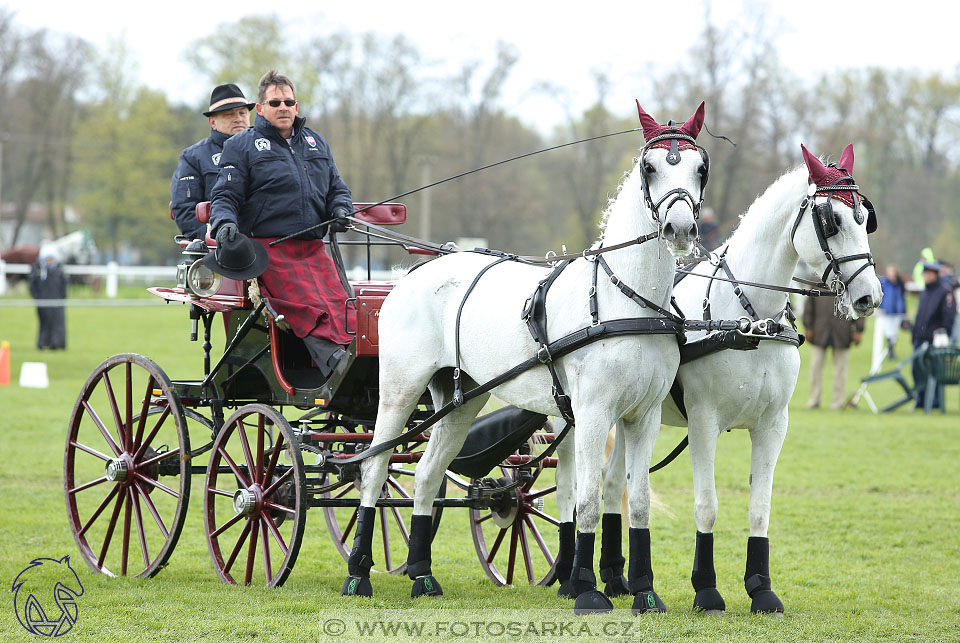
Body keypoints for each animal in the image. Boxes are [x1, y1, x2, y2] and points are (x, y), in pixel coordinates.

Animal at [342, 102, 708, 612]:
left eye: (700, 168)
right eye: (649, 167)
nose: (680, 229)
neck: (624, 299)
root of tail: (411, 273)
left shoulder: (643, 414)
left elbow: (636, 499)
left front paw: (644, 592)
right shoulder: (593, 413)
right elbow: (587, 499)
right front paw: (588, 590)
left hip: (461, 400)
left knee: (428, 474)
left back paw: (421, 574)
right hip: (399, 390)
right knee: (376, 468)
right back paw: (358, 571)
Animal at [560, 143, 880, 616]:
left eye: (865, 219)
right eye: (832, 221)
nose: (869, 297)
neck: (750, 319)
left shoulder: (773, 426)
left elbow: (760, 508)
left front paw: (761, 588)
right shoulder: (703, 422)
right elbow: (707, 506)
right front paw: (707, 589)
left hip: (627, 411)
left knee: (615, 485)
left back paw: (616, 579)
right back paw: (569, 579)